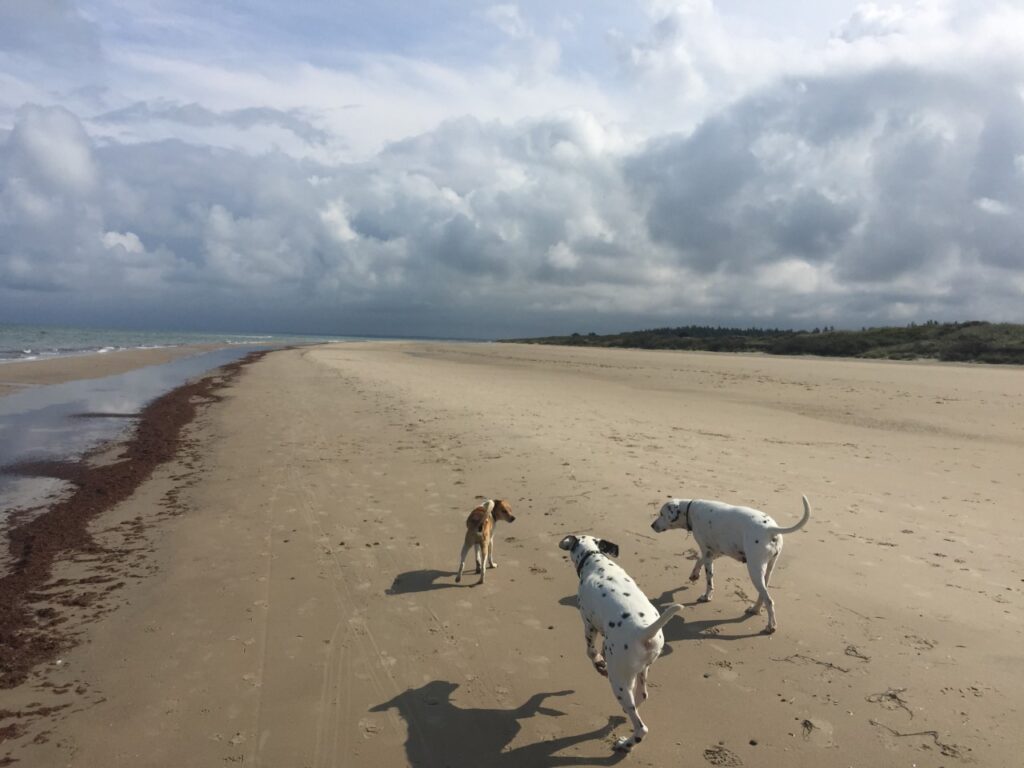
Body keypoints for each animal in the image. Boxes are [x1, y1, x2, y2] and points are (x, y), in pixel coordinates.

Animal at [561, 536, 679, 753]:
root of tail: (644, 631)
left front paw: (599, 663)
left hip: (619, 681)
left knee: (641, 728)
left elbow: (591, 651)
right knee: (641, 696)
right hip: (641, 671)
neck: (595, 560)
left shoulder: (589, 624)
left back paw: (626, 743)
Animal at [651, 495, 811, 634]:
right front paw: (694, 575)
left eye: (661, 514)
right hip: (767, 571)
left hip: (754, 570)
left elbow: (709, 580)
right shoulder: (714, 552)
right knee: (763, 596)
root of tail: (770, 529)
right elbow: (698, 560)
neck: (691, 510)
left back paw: (771, 626)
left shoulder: (708, 554)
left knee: (769, 600)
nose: (652, 525)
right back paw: (754, 609)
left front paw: (706, 596)